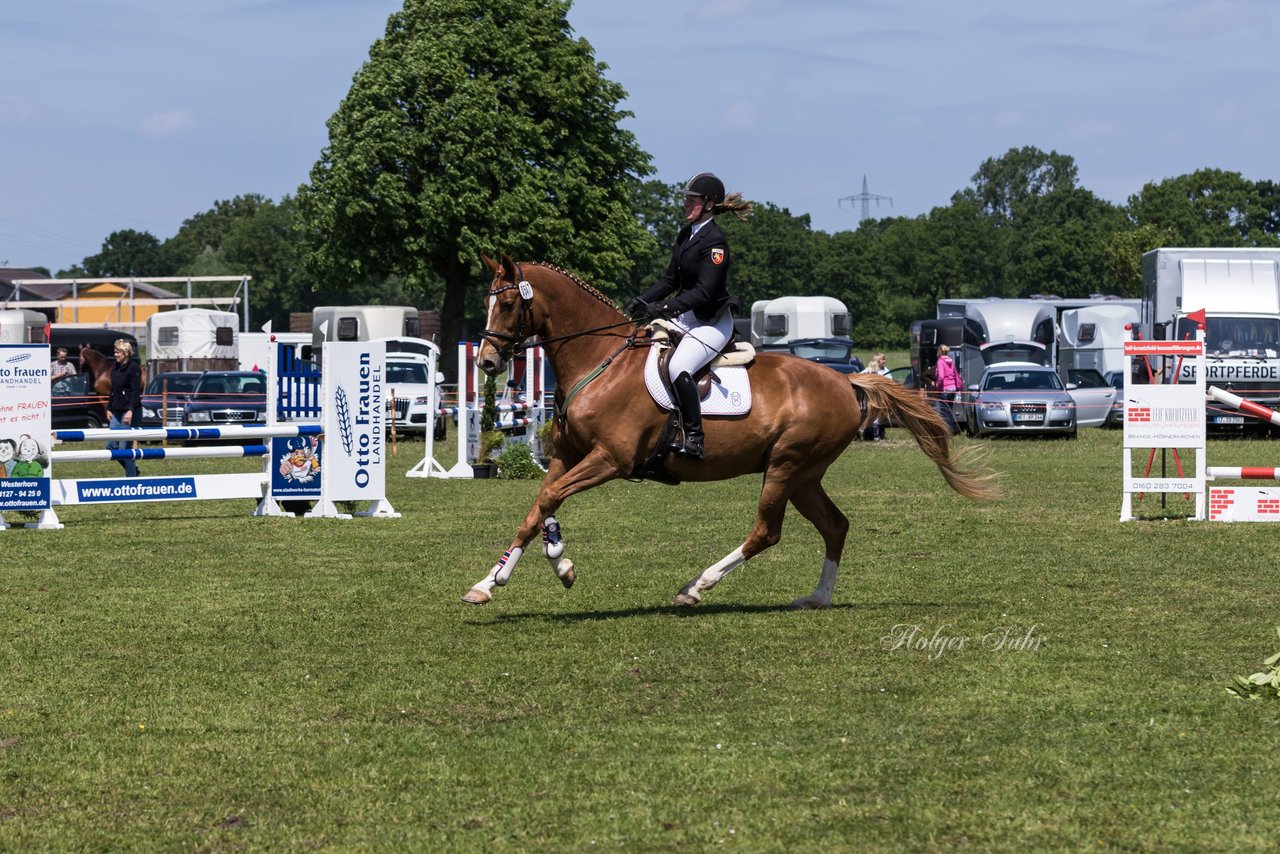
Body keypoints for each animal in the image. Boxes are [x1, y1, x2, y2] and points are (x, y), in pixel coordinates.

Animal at [463, 257, 998, 612]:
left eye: (507, 303)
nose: (486, 362)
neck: (600, 361)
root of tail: (846, 382)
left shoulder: (611, 459)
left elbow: (549, 498)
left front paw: (512, 576)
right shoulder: (568, 455)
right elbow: (541, 504)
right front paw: (518, 573)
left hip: (785, 466)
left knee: (767, 532)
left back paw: (696, 587)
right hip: (805, 474)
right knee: (835, 526)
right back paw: (818, 597)